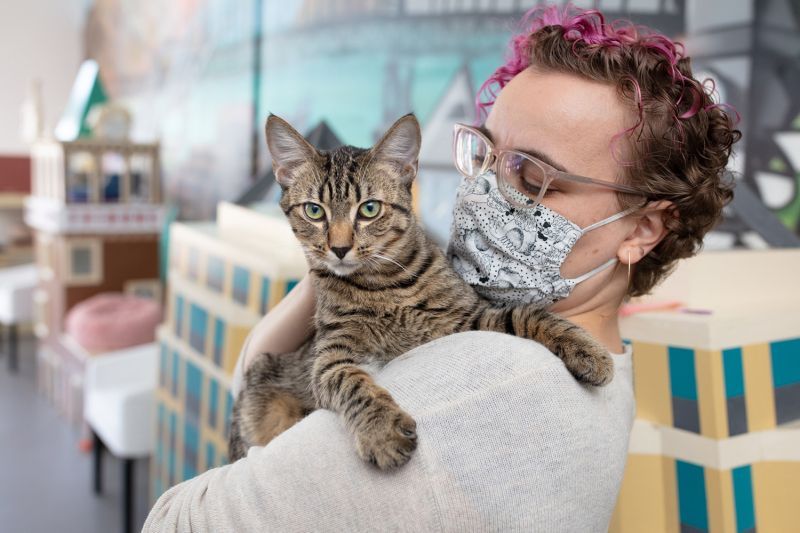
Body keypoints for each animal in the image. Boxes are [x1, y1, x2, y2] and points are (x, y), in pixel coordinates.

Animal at [228, 113, 616, 470]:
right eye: (313, 211)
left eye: (369, 209)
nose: (338, 248)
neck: (383, 285)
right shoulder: (328, 355)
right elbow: (350, 381)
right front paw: (381, 429)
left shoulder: (466, 320)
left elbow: (525, 313)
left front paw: (585, 348)